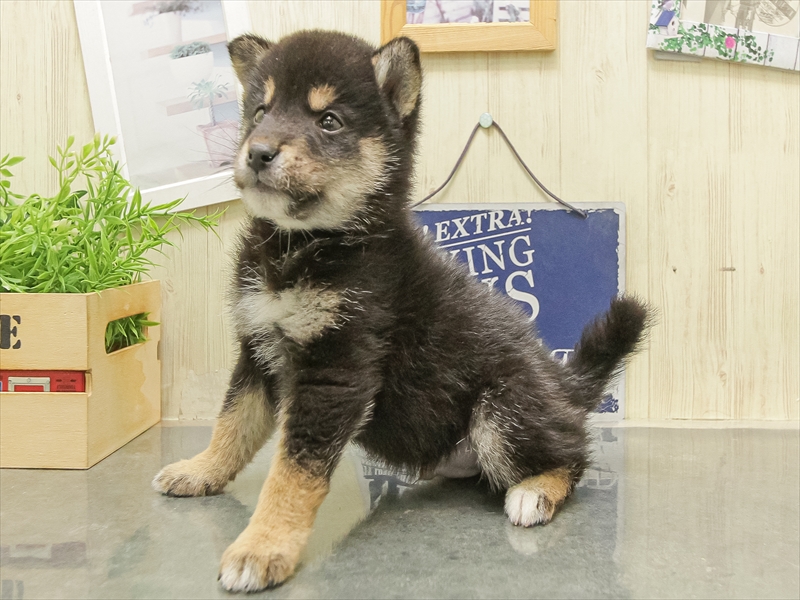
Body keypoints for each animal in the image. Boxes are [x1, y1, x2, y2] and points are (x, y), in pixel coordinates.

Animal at [152, 30, 649, 592]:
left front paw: (263, 546)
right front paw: (202, 471)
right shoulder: (258, 350)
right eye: (260, 112)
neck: (304, 247)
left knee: (573, 455)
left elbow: (292, 473)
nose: (257, 152)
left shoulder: (337, 369)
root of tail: (562, 385)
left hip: (503, 407)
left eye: (329, 121)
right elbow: (232, 425)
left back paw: (536, 491)